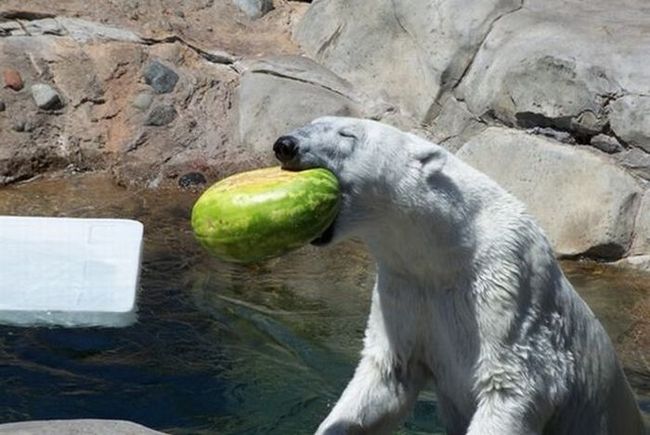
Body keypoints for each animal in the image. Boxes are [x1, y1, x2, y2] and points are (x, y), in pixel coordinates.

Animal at [270, 116, 644, 435]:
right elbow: (389, 374)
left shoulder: (507, 285)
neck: (447, 251)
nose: (285, 144)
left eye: (348, 134)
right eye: (311, 121)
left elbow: (511, 384)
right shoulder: (405, 287)